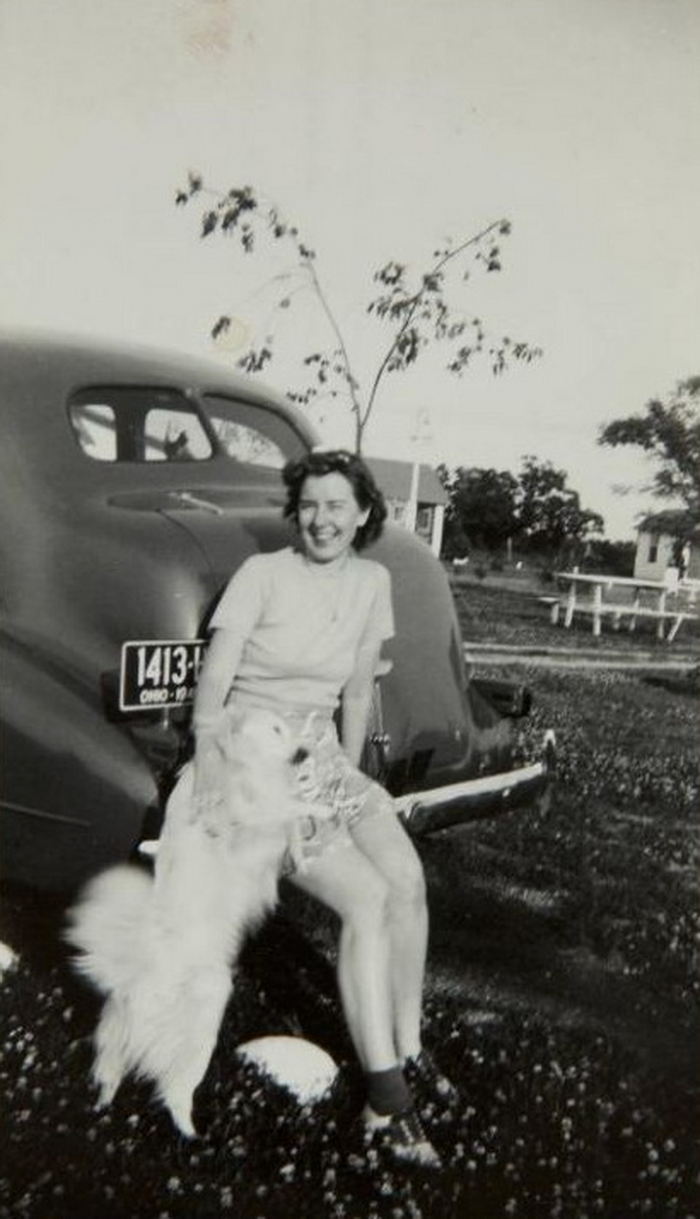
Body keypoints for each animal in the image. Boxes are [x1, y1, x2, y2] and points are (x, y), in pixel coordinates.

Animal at [67, 711, 309, 1136]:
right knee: (176, 1091)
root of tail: (146, 977)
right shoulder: (251, 832)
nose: (304, 752)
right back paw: (191, 1132)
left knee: (109, 1074)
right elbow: (282, 813)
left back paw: (102, 1110)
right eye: (277, 729)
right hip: (203, 1027)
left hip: (116, 1035)